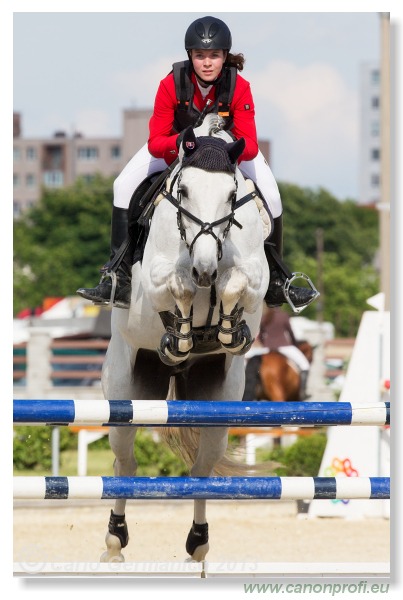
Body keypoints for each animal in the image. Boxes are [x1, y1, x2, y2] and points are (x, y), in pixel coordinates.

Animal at [99, 113, 274, 564]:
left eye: (231, 195)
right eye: (184, 191)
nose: (204, 269)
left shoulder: (256, 280)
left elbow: (237, 284)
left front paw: (229, 330)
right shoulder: (153, 282)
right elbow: (175, 285)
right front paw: (179, 336)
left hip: (218, 403)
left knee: (201, 471)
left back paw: (198, 542)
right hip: (128, 395)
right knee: (125, 466)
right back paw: (115, 541)